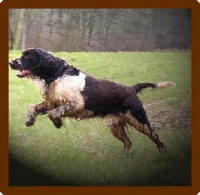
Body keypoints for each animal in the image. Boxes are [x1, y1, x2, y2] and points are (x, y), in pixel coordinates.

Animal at [9, 48, 175, 152]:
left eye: (27, 56)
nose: (11, 62)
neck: (58, 74)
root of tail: (131, 89)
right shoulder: (52, 102)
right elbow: (33, 107)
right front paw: (30, 121)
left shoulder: (76, 104)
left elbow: (53, 113)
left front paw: (58, 123)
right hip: (115, 125)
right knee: (128, 142)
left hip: (139, 120)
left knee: (156, 138)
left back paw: (163, 154)